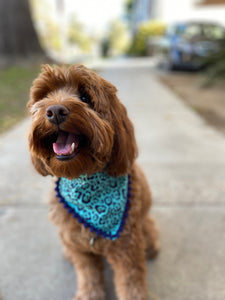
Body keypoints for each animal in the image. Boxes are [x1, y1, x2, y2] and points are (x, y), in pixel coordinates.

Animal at [26, 65, 160, 300]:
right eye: (44, 96)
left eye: (85, 97)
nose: (55, 110)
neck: (84, 179)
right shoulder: (79, 247)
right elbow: (88, 274)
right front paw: (89, 294)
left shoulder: (126, 247)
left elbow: (130, 282)